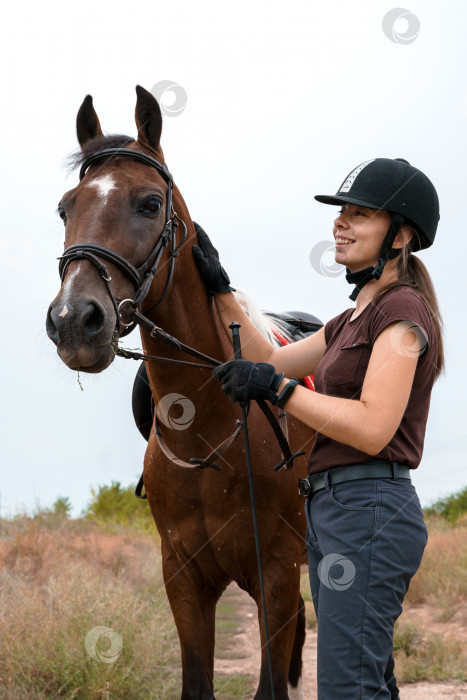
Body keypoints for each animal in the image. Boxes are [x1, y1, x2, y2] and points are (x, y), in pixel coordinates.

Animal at [46, 87, 318, 700]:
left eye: (150, 204)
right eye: (66, 208)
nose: (74, 321)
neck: (211, 432)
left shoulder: (276, 573)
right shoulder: (183, 578)